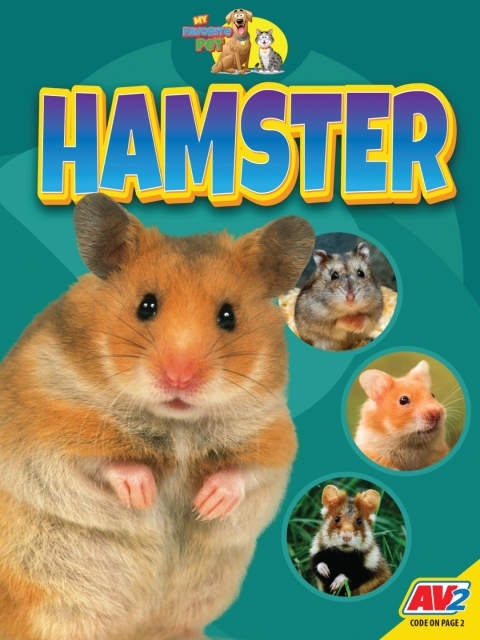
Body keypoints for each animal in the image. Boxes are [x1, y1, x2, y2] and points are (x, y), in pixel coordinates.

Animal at [0, 194, 315, 640]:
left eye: (228, 315)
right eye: (145, 306)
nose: (179, 378)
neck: (177, 424)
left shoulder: (272, 437)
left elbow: (244, 474)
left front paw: (207, 505)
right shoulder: (50, 426)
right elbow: (104, 464)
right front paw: (143, 495)